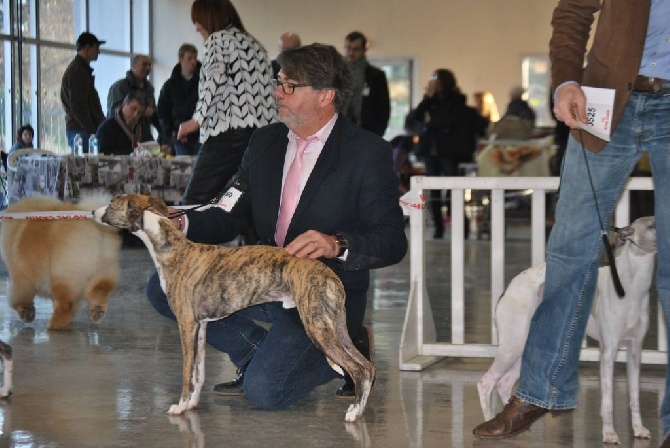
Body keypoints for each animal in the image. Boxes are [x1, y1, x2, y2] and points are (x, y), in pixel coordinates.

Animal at [93, 194, 378, 422]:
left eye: (113, 201)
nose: (93, 212)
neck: (173, 250)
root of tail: (330, 275)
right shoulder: (201, 326)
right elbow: (198, 372)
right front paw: (193, 404)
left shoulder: (186, 324)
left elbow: (186, 372)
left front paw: (180, 406)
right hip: (335, 325)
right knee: (367, 366)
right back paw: (359, 406)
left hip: (317, 326)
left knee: (357, 368)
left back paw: (354, 411)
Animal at [480, 217, 660, 444]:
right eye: (652, 225)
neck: (630, 287)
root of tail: (509, 288)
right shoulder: (608, 351)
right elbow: (607, 400)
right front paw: (609, 433)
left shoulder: (635, 350)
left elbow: (635, 396)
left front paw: (639, 429)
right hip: (512, 346)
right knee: (486, 382)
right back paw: (489, 420)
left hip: (524, 348)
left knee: (504, 383)